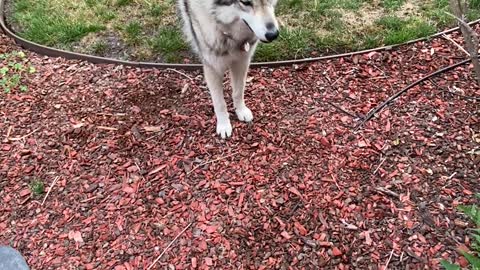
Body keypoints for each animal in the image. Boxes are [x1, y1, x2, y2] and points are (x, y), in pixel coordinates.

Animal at [176, 0, 282, 138]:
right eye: (246, 2)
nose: (273, 34)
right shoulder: (212, 67)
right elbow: (219, 103)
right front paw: (224, 125)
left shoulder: (242, 61)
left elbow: (238, 92)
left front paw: (241, 111)